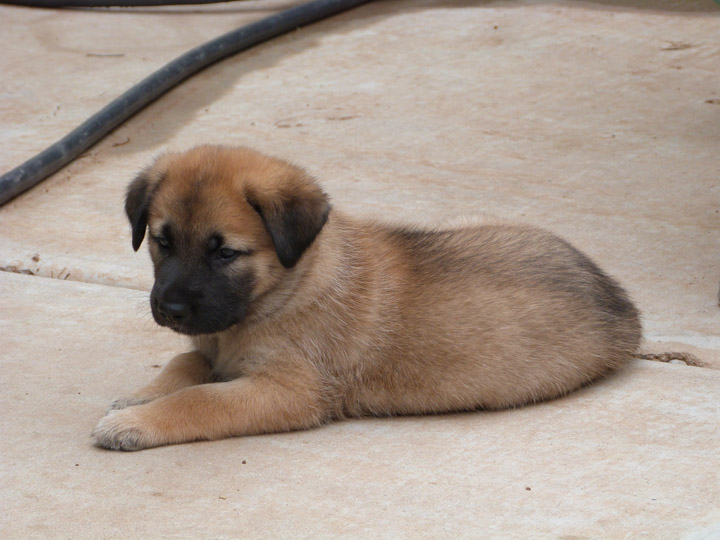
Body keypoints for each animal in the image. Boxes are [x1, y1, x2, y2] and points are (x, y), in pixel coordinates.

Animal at [91, 144, 640, 452]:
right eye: (162, 241)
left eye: (225, 253)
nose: (169, 309)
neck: (286, 288)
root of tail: (620, 301)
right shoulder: (211, 345)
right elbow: (185, 364)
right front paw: (142, 394)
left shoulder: (291, 390)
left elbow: (200, 400)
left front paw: (134, 422)